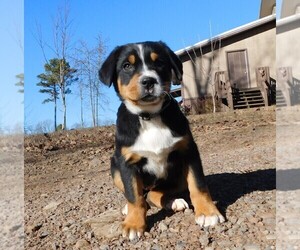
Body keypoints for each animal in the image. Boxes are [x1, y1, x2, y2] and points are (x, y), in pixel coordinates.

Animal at [99, 41, 224, 240]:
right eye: (126, 66)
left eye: (159, 63)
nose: (148, 81)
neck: (150, 116)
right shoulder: (126, 162)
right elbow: (134, 196)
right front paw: (134, 224)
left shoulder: (189, 151)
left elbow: (198, 185)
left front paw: (207, 212)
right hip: (114, 166)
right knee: (142, 195)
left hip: (177, 178)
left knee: (154, 194)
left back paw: (173, 202)